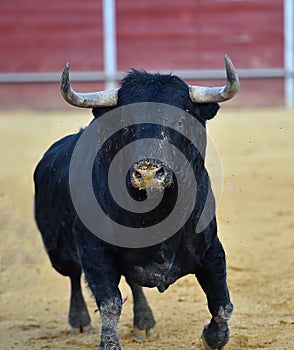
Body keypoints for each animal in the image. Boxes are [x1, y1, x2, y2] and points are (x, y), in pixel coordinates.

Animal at [33, 58, 239, 350]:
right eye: (124, 122)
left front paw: (212, 338)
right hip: (58, 250)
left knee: (133, 283)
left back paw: (144, 322)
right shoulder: (93, 252)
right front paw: (109, 344)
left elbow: (222, 303)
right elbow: (110, 303)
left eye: (181, 119)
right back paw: (79, 321)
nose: (148, 173)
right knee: (74, 276)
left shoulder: (211, 248)